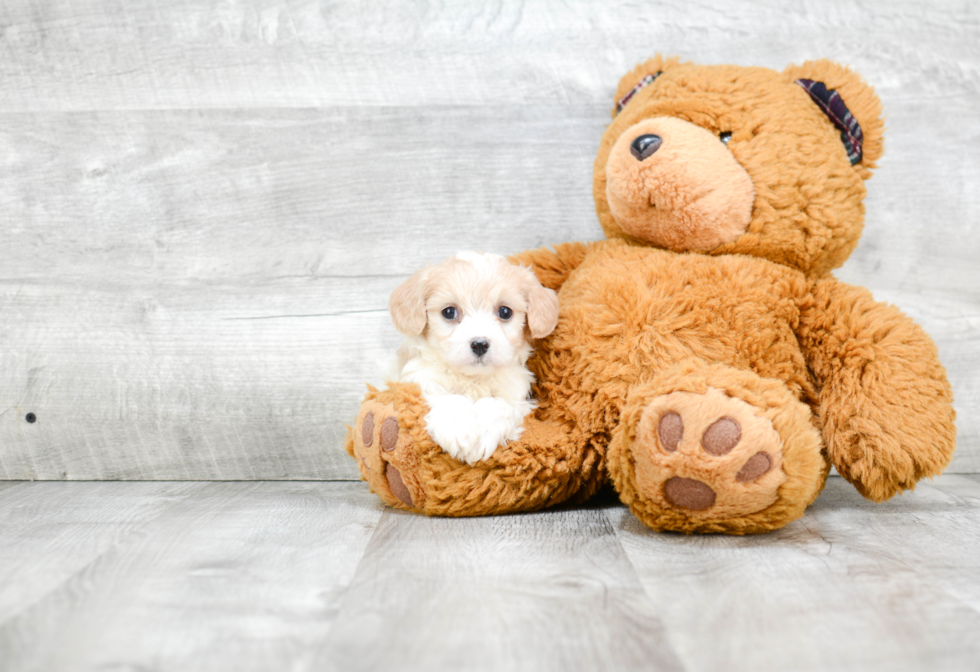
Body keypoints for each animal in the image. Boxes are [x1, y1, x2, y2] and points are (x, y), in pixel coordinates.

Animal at [390, 249, 560, 464]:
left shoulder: (516, 394)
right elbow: (450, 398)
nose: (480, 344)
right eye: (449, 312)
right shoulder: (422, 381)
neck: (473, 378)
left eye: (505, 312)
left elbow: (497, 405)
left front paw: (481, 436)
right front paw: (460, 430)